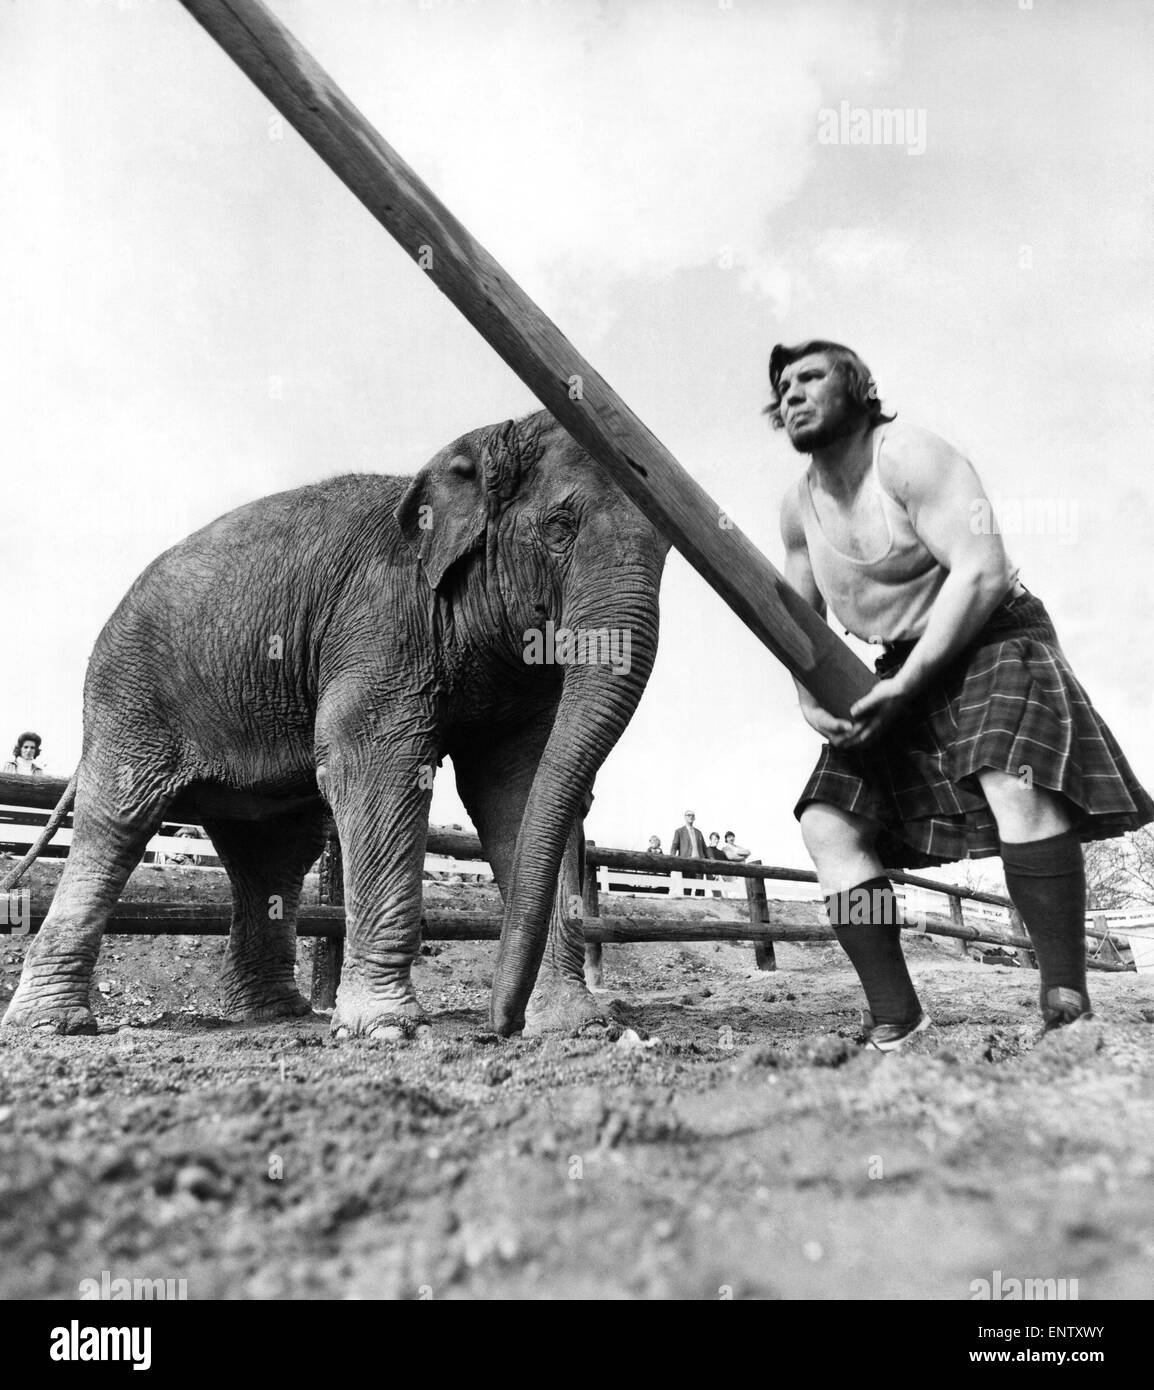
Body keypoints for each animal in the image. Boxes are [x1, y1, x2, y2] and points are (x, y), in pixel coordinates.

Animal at [4, 411, 667, 1045]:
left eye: (666, 551)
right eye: (560, 528)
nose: (498, 1025)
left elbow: (519, 788)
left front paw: (580, 1027)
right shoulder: (380, 626)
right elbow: (378, 767)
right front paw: (387, 1031)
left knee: (273, 852)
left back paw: (274, 1015)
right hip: (130, 699)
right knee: (118, 822)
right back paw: (54, 1025)